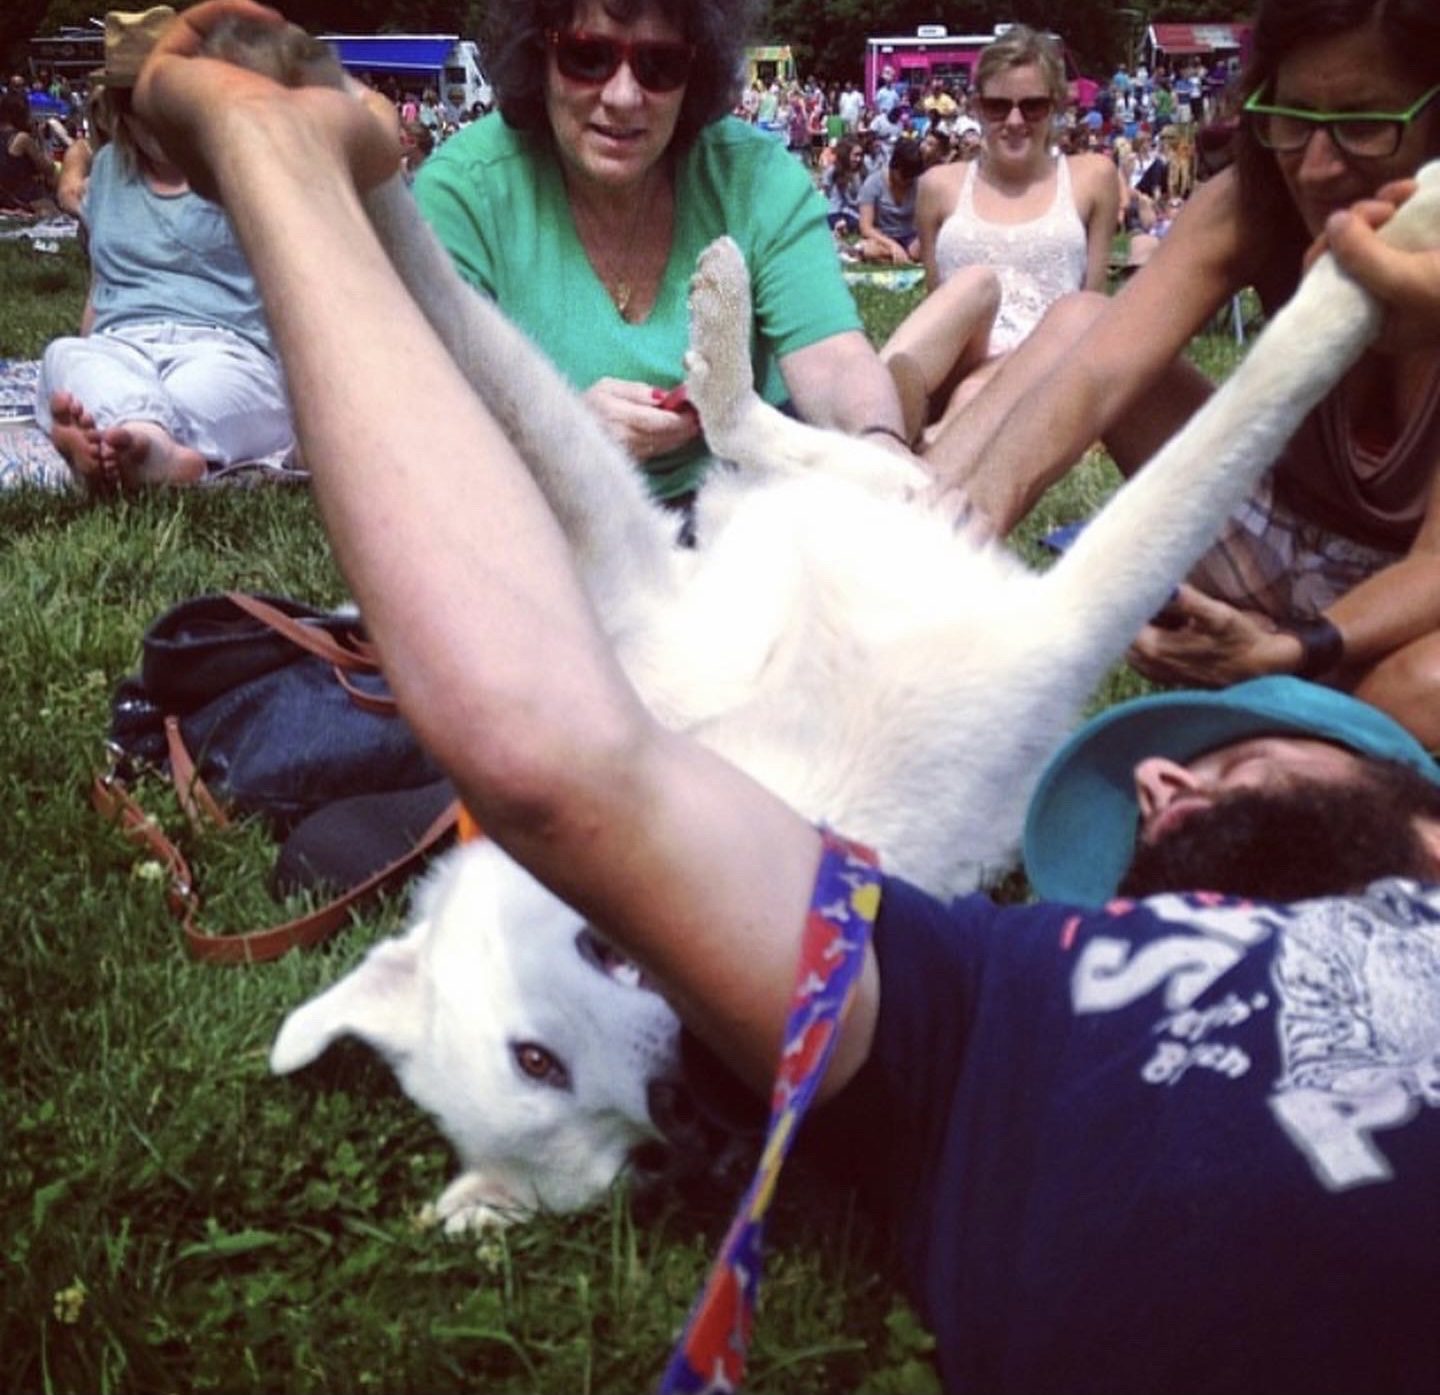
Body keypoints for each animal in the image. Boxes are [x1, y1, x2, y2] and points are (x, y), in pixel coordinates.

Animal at [270, 128, 1440, 1220]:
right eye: (638, 1162)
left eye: (534, 1057)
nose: (706, 1118)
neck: (772, 785)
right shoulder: (1062, 623)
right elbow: (1265, 395)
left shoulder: (627, 574)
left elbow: (494, 367)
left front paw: (334, 134)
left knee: (817, 445)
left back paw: (723, 334)